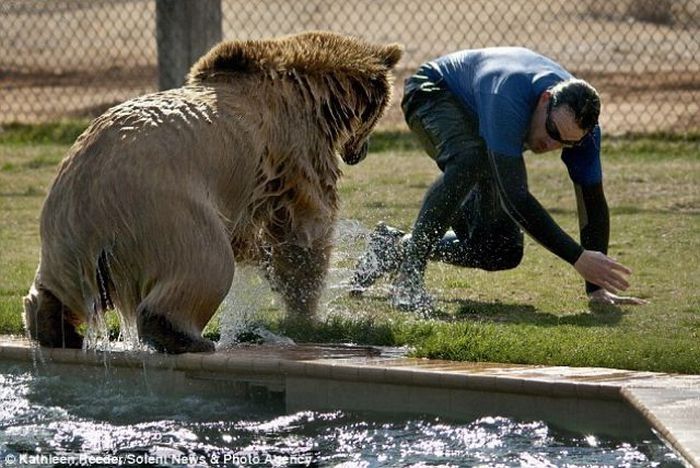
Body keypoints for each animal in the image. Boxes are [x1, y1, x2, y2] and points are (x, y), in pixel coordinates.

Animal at [24, 31, 402, 352]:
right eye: (381, 110)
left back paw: (53, 327)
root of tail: (94, 192)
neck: (314, 94)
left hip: (67, 228)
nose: (359, 153)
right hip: (166, 210)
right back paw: (184, 336)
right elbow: (304, 228)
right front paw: (306, 311)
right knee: (206, 265)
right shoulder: (294, 150)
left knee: (61, 284)